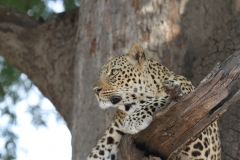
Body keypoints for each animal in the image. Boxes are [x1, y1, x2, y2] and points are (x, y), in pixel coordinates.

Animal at [87, 43, 221, 160]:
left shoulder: (201, 138)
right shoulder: (109, 138)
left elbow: (162, 99)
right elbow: (95, 155)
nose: (95, 90)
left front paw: (134, 120)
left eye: (114, 72)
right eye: (100, 75)